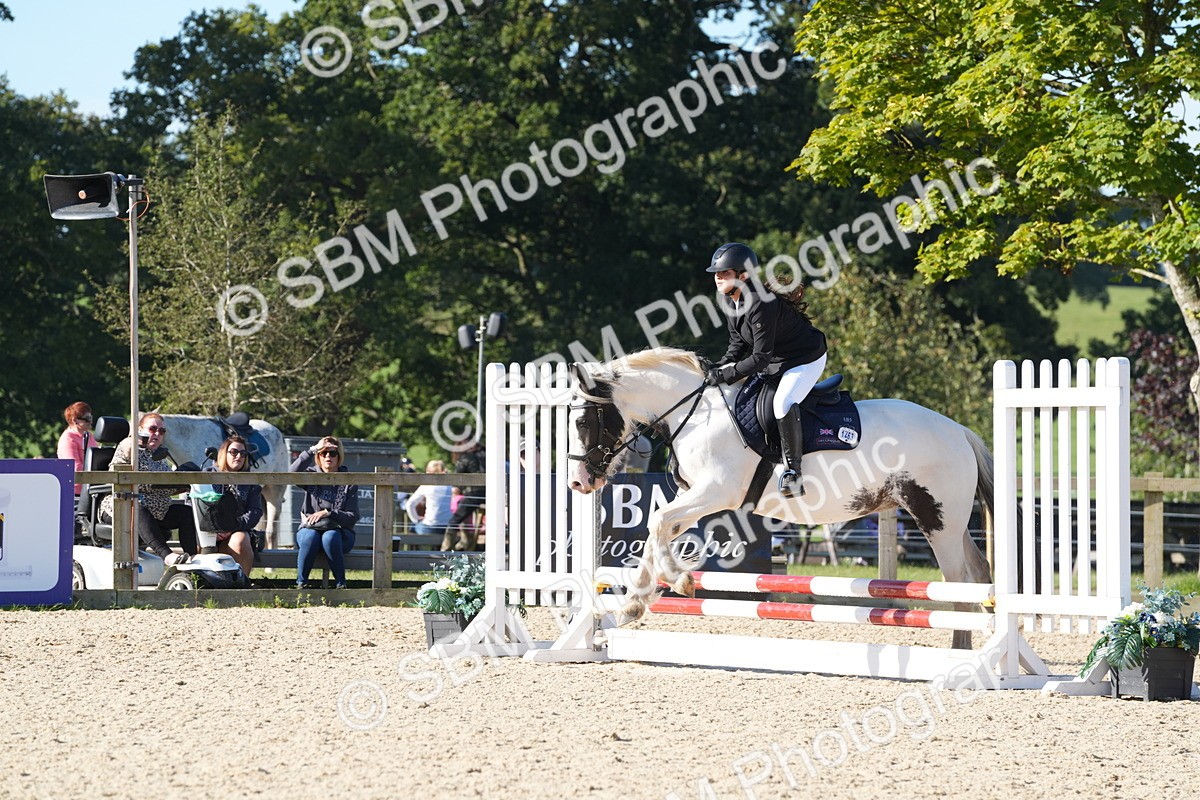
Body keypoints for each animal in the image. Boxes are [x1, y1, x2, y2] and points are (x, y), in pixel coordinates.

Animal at [564, 348, 994, 650]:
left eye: (583, 422)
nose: (578, 483)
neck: (695, 412)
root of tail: (959, 431)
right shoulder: (694, 497)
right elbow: (660, 529)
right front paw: (635, 603)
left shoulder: (717, 491)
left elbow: (657, 524)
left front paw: (679, 583)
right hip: (950, 522)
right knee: (978, 571)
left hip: (935, 518)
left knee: (959, 581)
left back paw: (961, 656)